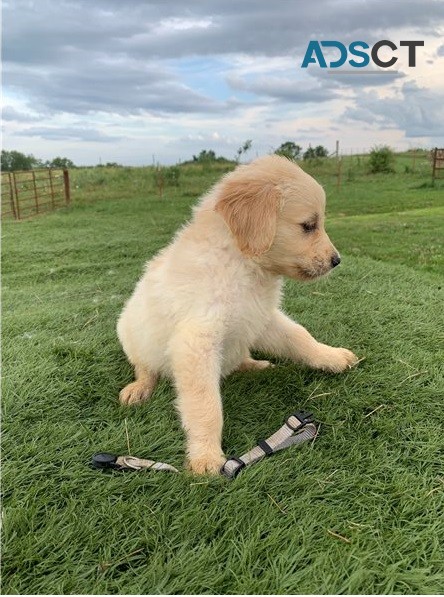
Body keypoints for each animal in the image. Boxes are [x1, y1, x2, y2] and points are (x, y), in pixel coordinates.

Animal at [117, 156, 358, 472]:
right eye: (308, 225)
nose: (336, 261)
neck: (242, 263)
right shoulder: (196, 342)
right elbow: (206, 404)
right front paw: (206, 456)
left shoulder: (263, 317)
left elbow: (300, 337)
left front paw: (331, 357)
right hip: (131, 334)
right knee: (145, 367)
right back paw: (140, 387)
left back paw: (253, 364)